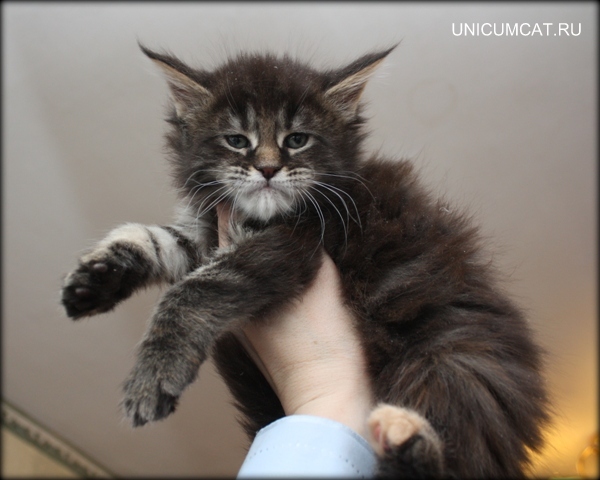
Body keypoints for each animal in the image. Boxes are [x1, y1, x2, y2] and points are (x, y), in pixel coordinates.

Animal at [61, 43, 550, 478]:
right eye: (236, 141)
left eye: (297, 140)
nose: (267, 168)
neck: (259, 216)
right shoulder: (203, 235)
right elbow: (151, 239)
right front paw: (95, 279)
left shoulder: (297, 242)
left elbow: (196, 291)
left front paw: (153, 376)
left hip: (457, 364)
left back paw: (408, 438)